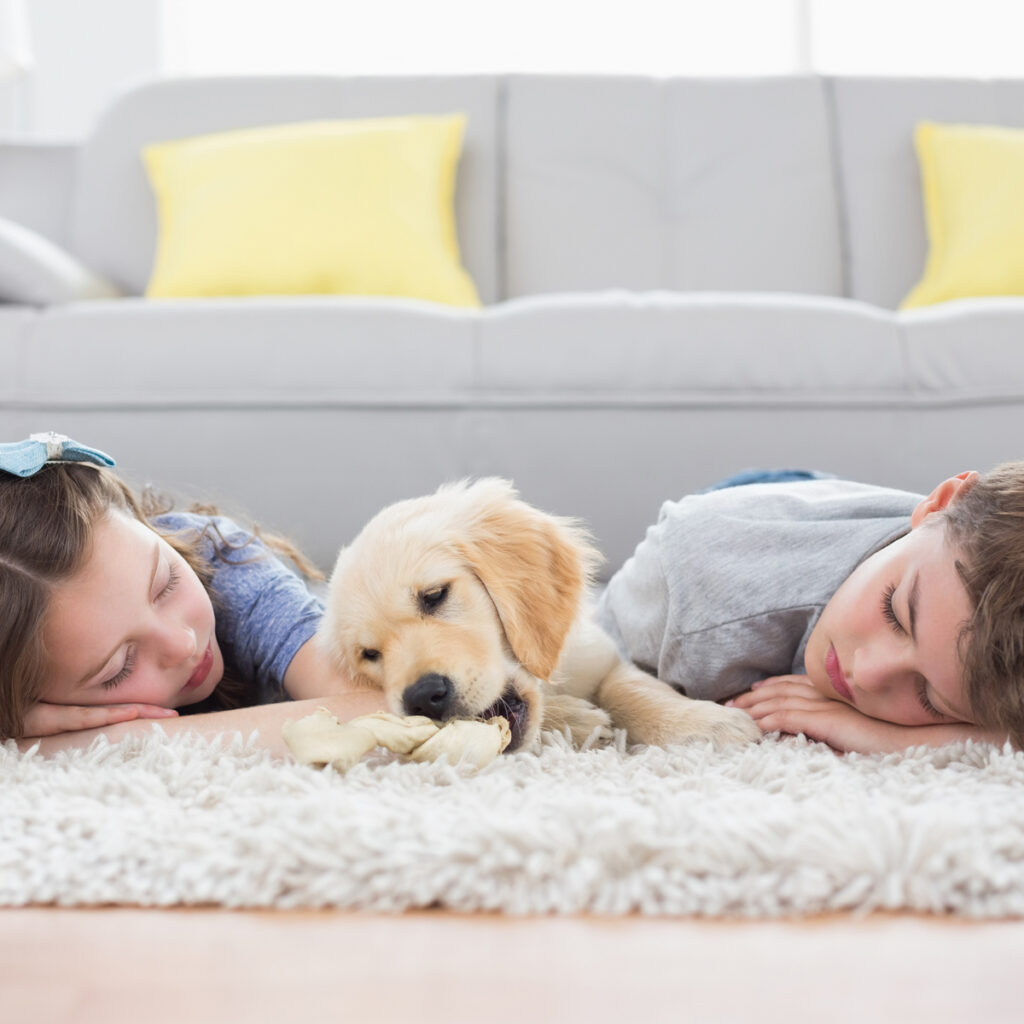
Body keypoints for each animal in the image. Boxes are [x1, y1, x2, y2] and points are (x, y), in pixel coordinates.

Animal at [319, 479, 761, 753]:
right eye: (369, 654)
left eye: (434, 596)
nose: (422, 697)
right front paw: (576, 721)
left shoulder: (600, 655)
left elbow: (635, 689)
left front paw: (706, 724)